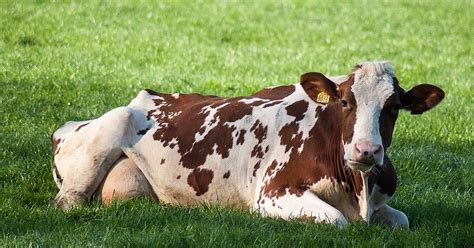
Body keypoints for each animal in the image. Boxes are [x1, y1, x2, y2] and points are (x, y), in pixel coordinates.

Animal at [51, 61, 444, 228]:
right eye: (345, 101)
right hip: (107, 134)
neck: (356, 188)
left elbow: (401, 220)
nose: (367, 151)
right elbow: (336, 221)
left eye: (393, 107)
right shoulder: (274, 192)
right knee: (67, 203)